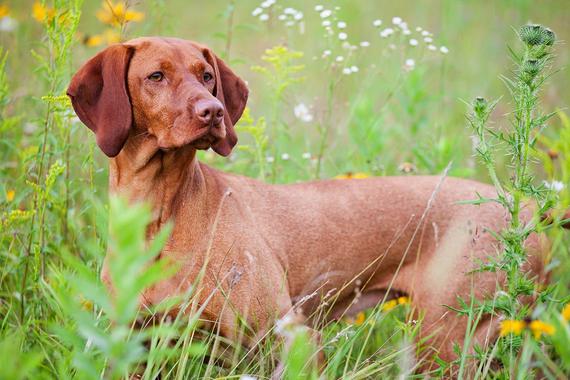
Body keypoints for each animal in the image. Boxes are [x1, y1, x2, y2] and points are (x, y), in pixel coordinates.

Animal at [67, 37, 544, 372]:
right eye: (156, 76)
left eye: (206, 76)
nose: (214, 111)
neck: (159, 212)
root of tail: (525, 212)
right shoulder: (136, 344)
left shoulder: (294, 338)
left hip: (447, 337)